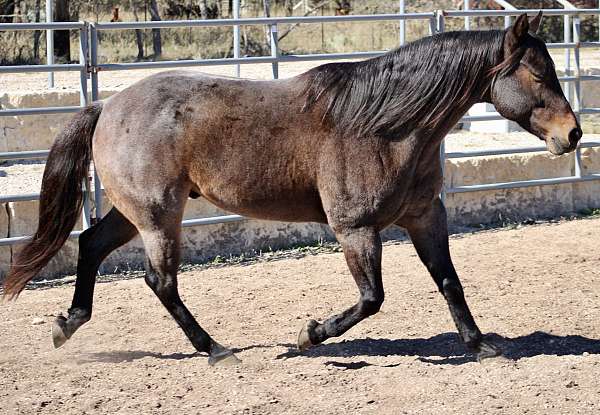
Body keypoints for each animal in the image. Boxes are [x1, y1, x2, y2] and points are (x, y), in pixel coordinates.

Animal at [1, 11, 580, 366]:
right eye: (535, 74)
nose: (572, 134)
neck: (384, 126)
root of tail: (107, 106)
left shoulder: (425, 218)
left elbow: (449, 282)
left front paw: (481, 346)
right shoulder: (355, 229)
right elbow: (371, 298)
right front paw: (308, 335)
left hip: (134, 213)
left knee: (91, 245)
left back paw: (67, 324)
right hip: (159, 216)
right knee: (160, 280)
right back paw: (215, 349)